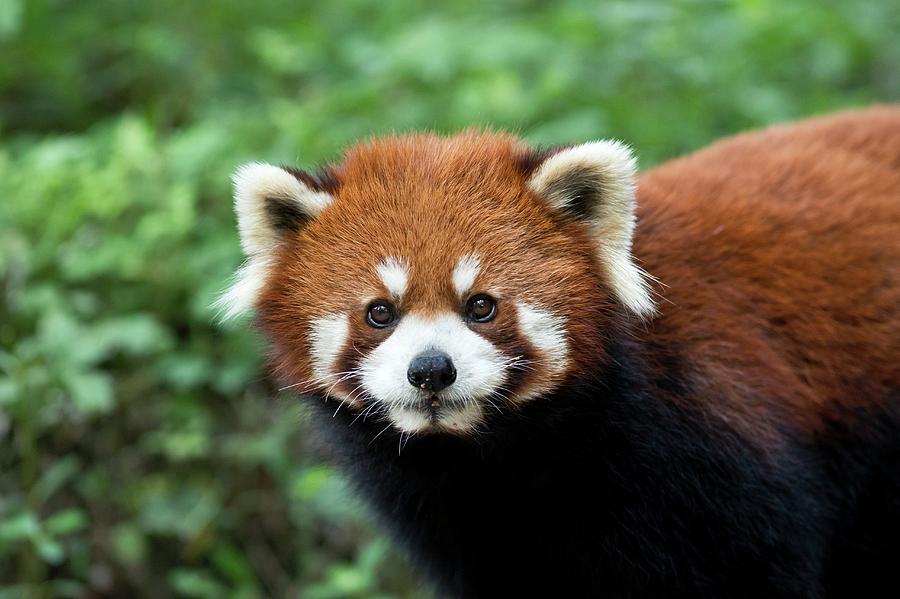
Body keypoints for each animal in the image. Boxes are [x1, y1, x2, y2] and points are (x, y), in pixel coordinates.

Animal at [220, 109, 900, 599]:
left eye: (482, 306)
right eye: (379, 312)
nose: (431, 370)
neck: (506, 457)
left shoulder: (724, 454)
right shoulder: (461, 525)